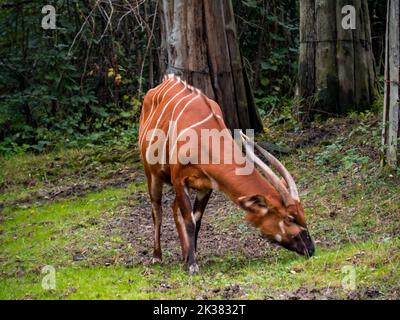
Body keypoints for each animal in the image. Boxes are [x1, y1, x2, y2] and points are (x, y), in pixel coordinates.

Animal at [139, 75, 314, 276]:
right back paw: (157, 257)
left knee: (174, 207)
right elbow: (189, 221)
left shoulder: (206, 186)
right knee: (157, 210)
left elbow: (196, 219)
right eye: (289, 218)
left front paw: (190, 258)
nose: (311, 249)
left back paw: (183, 254)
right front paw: (192, 265)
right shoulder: (178, 179)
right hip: (151, 173)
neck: (203, 139)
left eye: (303, 214)